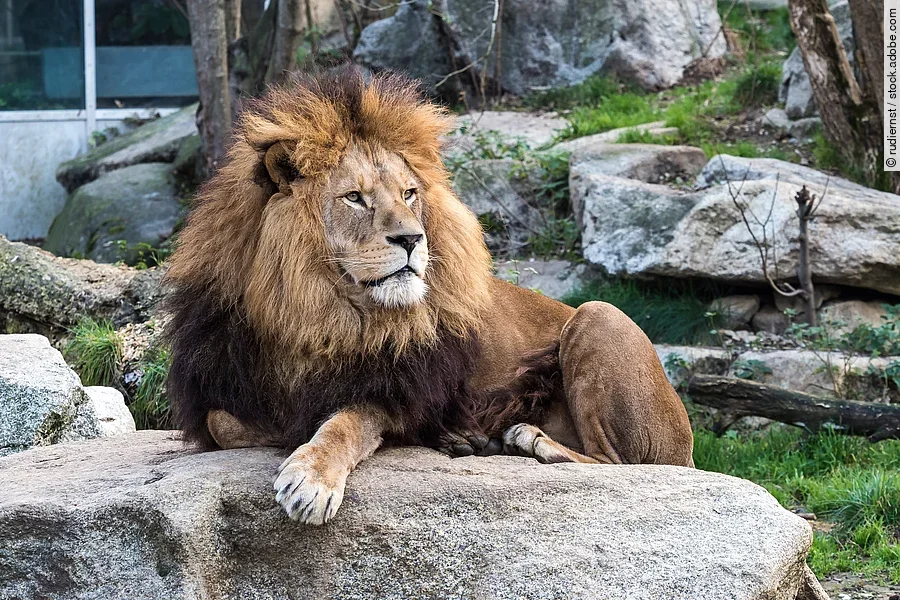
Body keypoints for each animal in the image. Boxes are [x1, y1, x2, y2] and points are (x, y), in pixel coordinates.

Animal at [164, 67, 693, 526]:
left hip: (598, 315)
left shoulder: (395, 393)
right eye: (354, 197)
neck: (313, 312)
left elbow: (344, 423)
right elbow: (223, 422)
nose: (411, 238)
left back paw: (528, 440)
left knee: (621, 465)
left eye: (409, 194)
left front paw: (310, 476)